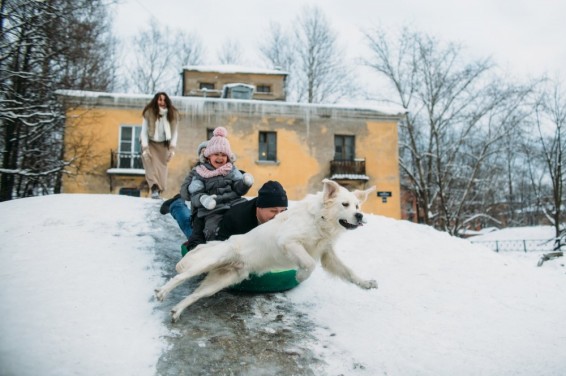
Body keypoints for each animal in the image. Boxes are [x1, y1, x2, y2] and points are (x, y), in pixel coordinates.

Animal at [156, 178, 378, 320]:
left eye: (357, 206)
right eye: (345, 204)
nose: (360, 216)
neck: (320, 221)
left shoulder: (327, 255)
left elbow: (348, 272)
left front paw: (366, 283)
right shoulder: (288, 241)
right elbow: (308, 264)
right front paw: (299, 276)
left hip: (220, 281)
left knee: (195, 294)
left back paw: (177, 311)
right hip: (209, 262)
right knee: (180, 277)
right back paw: (162, 292)